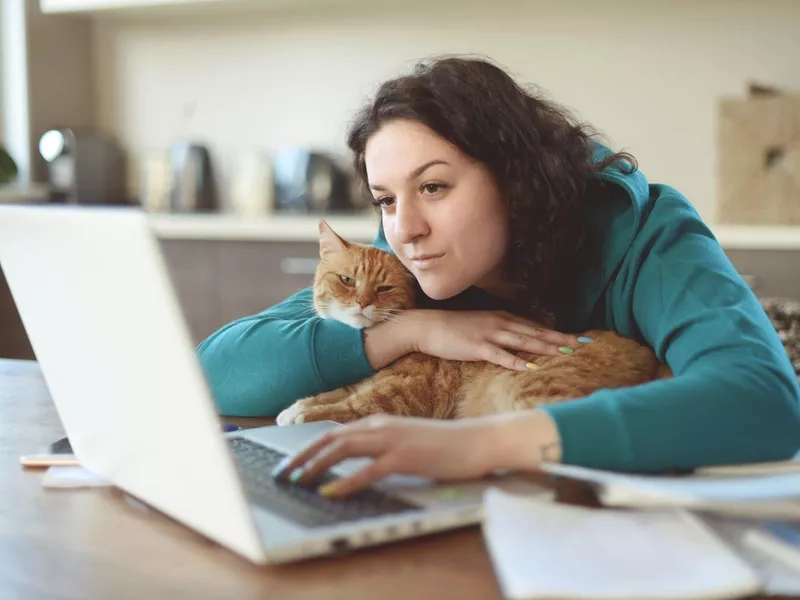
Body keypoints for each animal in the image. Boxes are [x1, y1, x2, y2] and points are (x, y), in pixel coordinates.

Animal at [276, 220, 668, 426]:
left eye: (384, 288)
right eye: (347, 280)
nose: (362, 302)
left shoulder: (402, 397)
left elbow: (351, 407)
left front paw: (305, 414)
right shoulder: (360, 383)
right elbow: (334, 392)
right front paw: (298, 405)